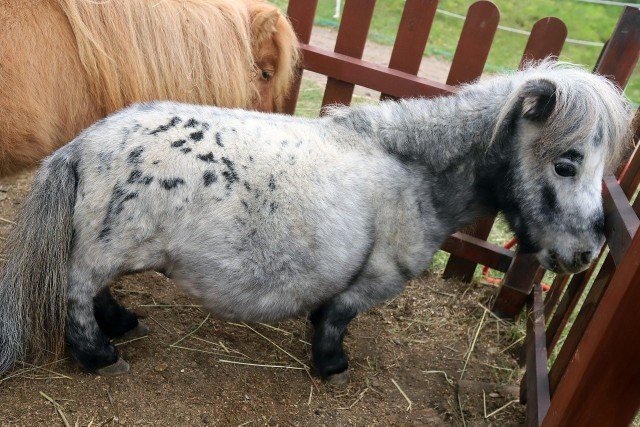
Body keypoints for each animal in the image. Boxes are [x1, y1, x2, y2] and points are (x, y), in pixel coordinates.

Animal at [0, 60, 632, 384]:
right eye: (567, 162)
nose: (584, 254)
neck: (412, 169)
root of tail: (82, 146)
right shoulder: (372, 282)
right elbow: (335, 320)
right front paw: (331, 367)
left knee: (96, 292)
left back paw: (122, 324)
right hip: (102, 254)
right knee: (77, 294)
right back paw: (98, 355)